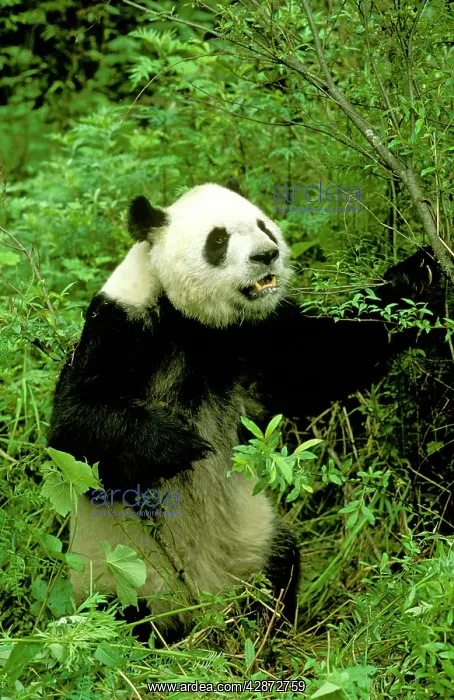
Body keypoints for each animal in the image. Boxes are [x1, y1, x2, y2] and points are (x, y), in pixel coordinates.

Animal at [48, 182, 439, 642]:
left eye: (263, 226)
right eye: (217, 241)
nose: (266, 254)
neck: (194, 324)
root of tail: (205, 606)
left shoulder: (256, 334)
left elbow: (318, 365)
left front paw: (419, 277)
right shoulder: (122, 326)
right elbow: (74, 430)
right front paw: (180, 443)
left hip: (251, 538)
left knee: (282, 564)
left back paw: (269, 631)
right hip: (122, 572)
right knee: (118, 620)